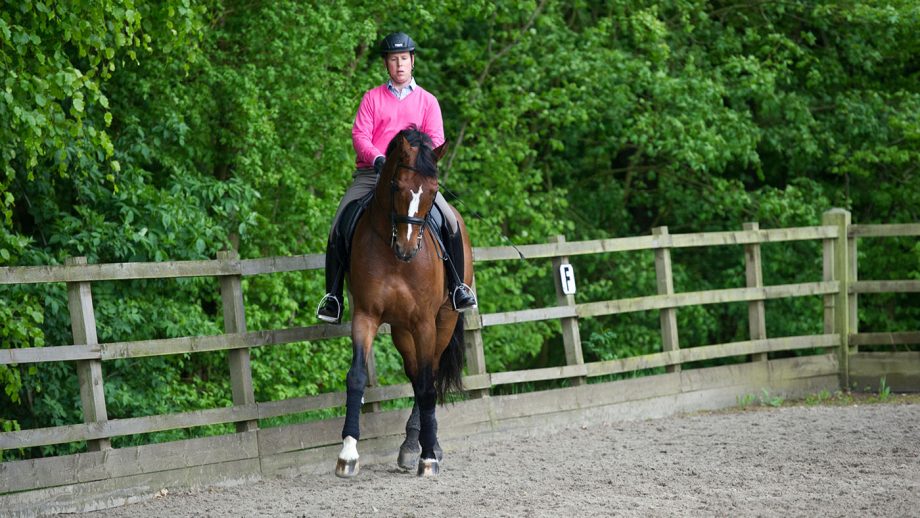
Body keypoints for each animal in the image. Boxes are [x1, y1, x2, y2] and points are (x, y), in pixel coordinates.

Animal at [334, 129, 470, 480]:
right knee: (414, 373)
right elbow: (356, 376)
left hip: (444, 322)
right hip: (400, 329)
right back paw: (412, 445)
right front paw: (348, 455)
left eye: (433, 191)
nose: (407, 249)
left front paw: (429, 457)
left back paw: (427, 447)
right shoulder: (365, 315)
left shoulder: (424, 322)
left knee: (428, 375)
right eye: (396, 185)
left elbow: (427, 385)